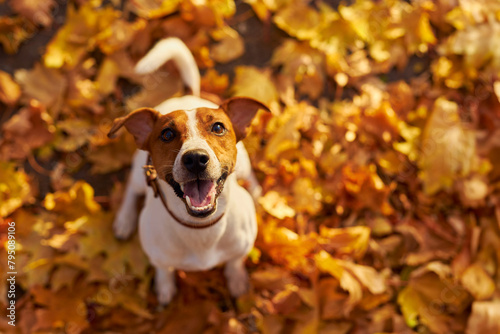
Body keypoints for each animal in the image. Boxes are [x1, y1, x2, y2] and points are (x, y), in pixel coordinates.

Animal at [106, 37, 270, 306]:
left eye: (218, 127)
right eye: (167, 134)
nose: (195, 159)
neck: (201, 230)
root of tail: (186, 96)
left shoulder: (242, 247)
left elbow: (234, 262)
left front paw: (237, 281)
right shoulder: (159, 257)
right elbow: (164, 271)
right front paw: (165, 289)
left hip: (245, 163)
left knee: (250, 177)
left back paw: (256, 194)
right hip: (140, 172)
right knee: (132, 188)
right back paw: (124, 219)